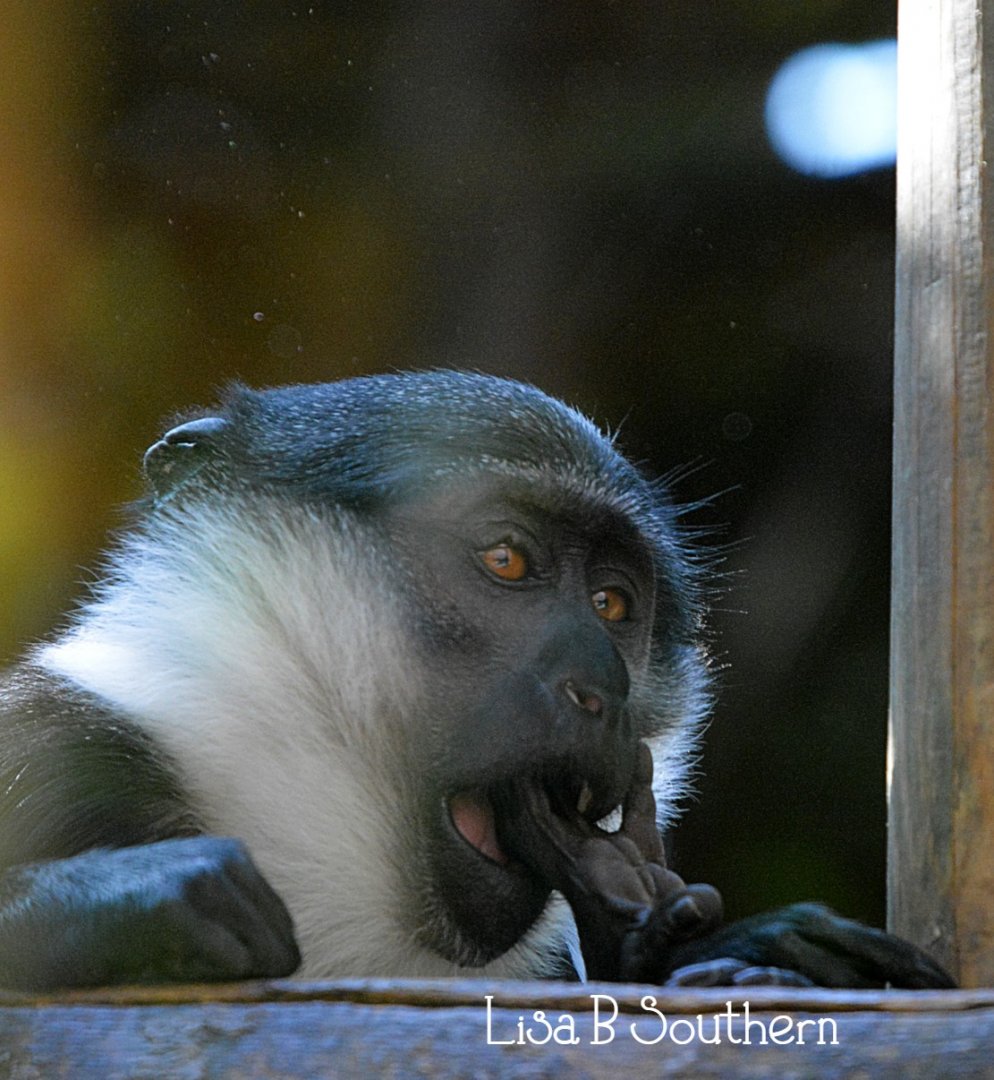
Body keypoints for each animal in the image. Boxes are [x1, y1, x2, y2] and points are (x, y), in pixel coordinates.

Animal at [0, 371, 953, 992]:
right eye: (507, 560)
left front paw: (695, 944)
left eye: (612, 603)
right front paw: (136, 901)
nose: (600, 689)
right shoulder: (56, 744)